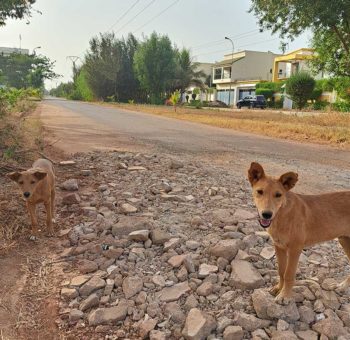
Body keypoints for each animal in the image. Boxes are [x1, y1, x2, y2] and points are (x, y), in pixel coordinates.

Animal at [247, 162, 350, 306]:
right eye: (260, 191)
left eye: (278, 195)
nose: (267, 214)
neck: (282, 214)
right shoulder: (279, 246)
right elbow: (281, 271)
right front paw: (278, 288)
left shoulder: (295, 248)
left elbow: (289, 274)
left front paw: (285, 296)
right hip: (344, 240)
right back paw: (342, 286)